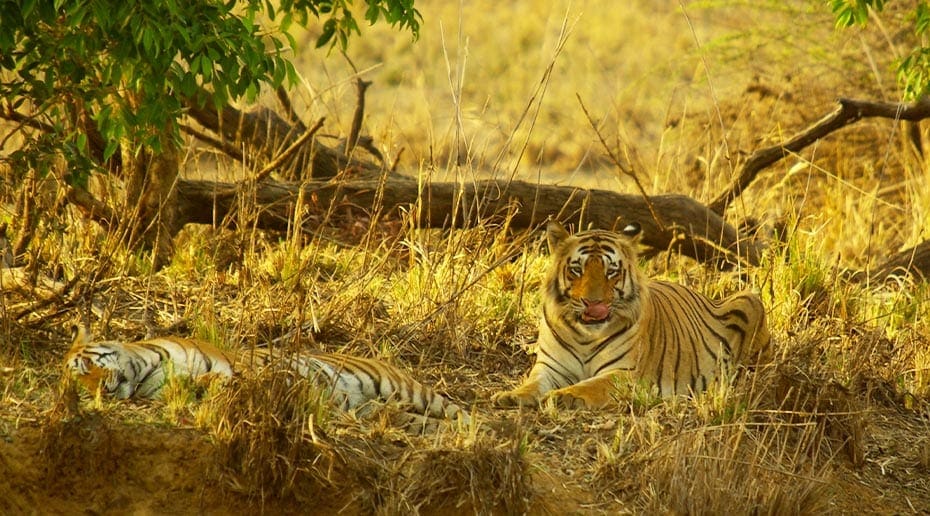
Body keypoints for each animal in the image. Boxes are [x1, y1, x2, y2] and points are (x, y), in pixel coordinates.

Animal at [490, 220, 772, 410]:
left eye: (611, 272)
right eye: (577, 269)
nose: (593, 304)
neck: (585, 336)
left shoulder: (625, 373)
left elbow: (591, 385)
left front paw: (564, 396)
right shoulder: (550, 367)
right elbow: (533, 383)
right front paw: (511, 395)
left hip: (749, 300)